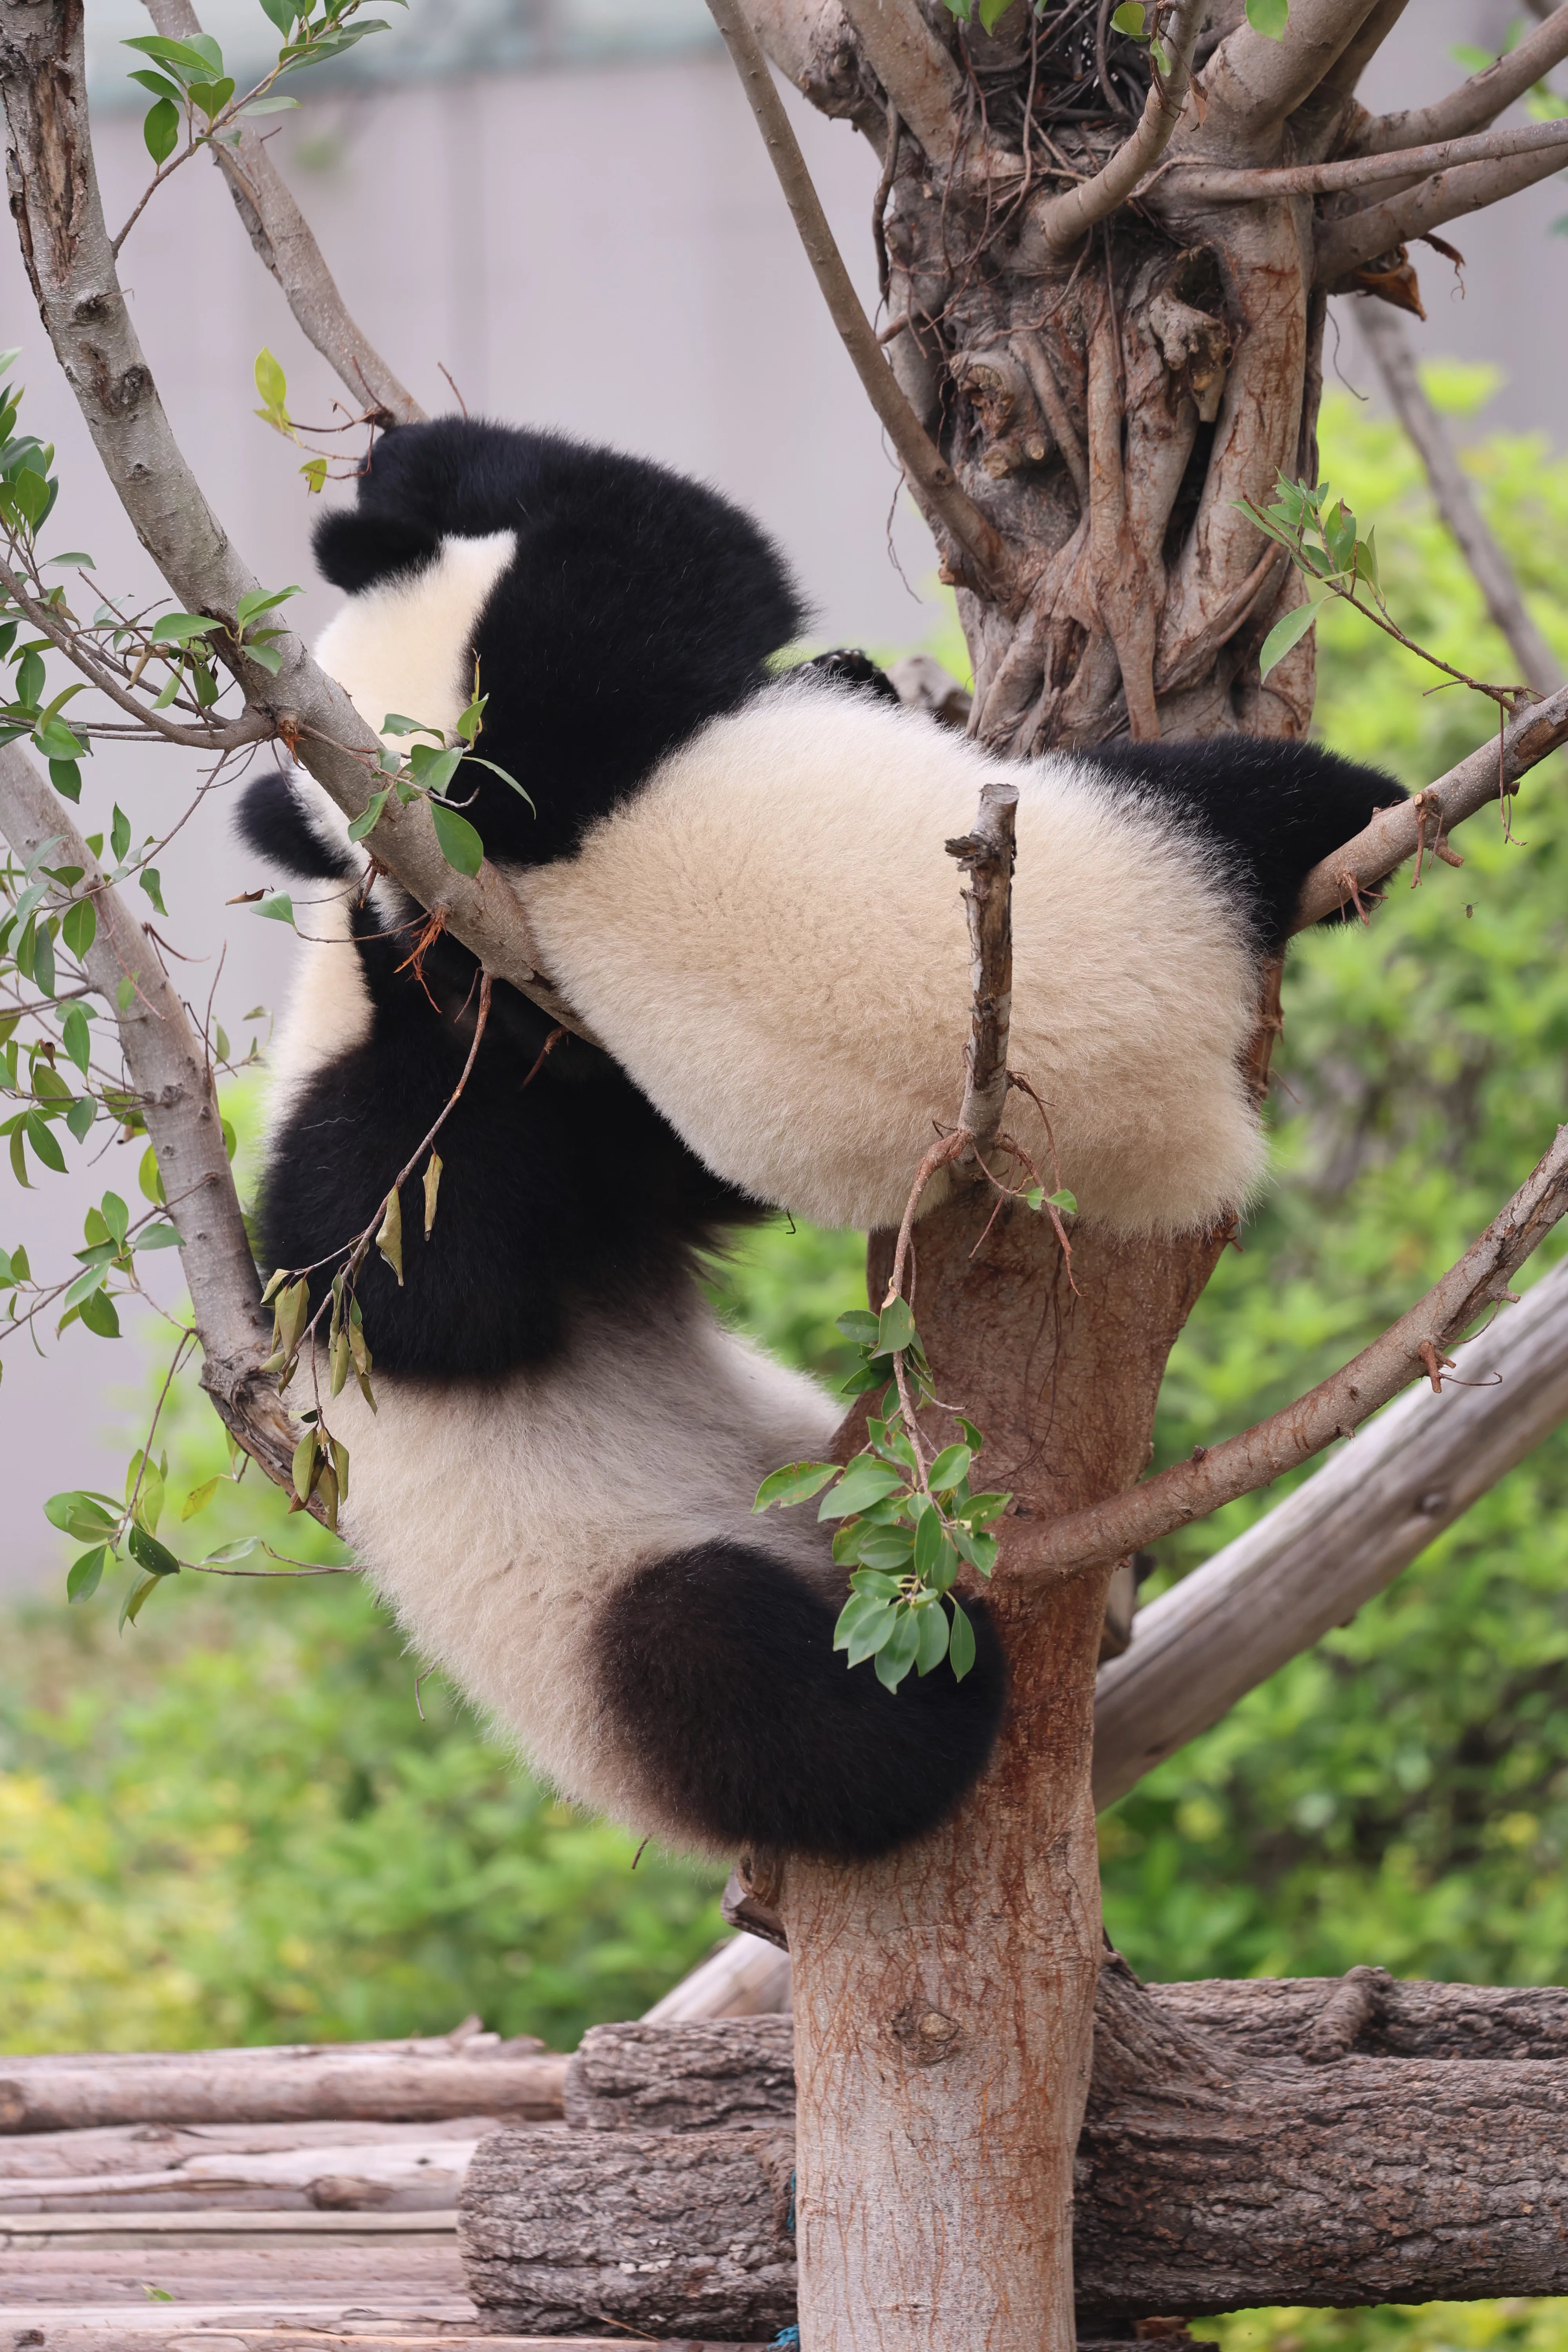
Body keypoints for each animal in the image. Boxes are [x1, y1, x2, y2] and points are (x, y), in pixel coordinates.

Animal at [241, 415, 1401, 1864]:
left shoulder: (593, 1100)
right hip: (610, 1622)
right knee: (743, 1683)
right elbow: (417, 1296)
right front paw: (436, 466)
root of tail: (1182, 1123)